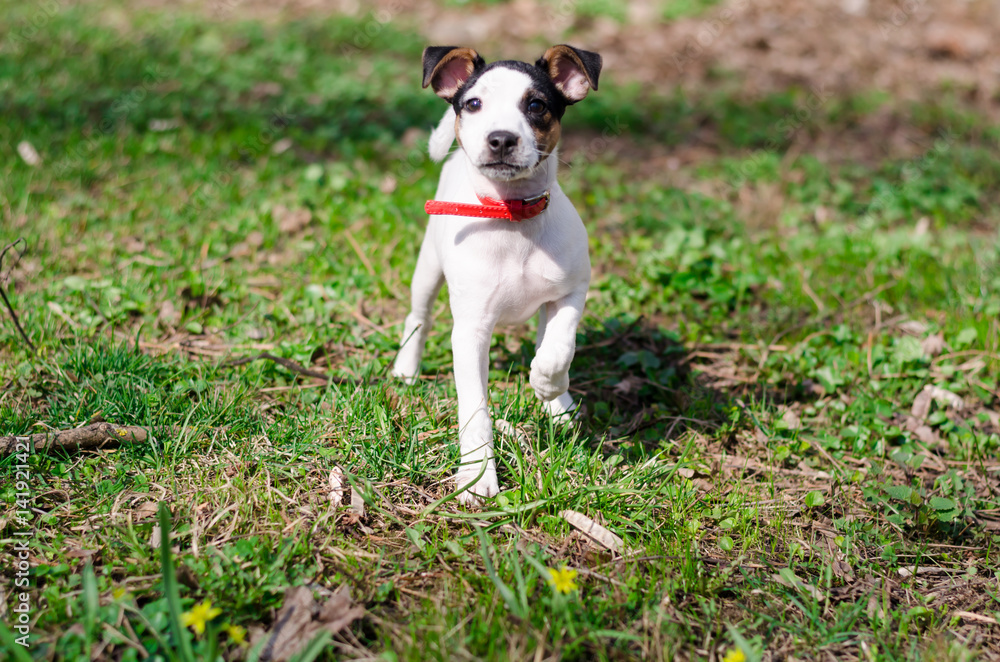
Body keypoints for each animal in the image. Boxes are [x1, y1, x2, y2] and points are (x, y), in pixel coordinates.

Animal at [394, 44, 600, 506]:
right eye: (473, 104)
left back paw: (558, 404)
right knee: (419, 317)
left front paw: (548, 386)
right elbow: (475, 411)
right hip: (427, 269)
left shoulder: (571, 291)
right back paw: (405, 369)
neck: (512, 217)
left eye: (536, 105)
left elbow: (559, 348)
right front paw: (477, 476)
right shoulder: (470, 331)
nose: (502, 138)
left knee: (544, 337)